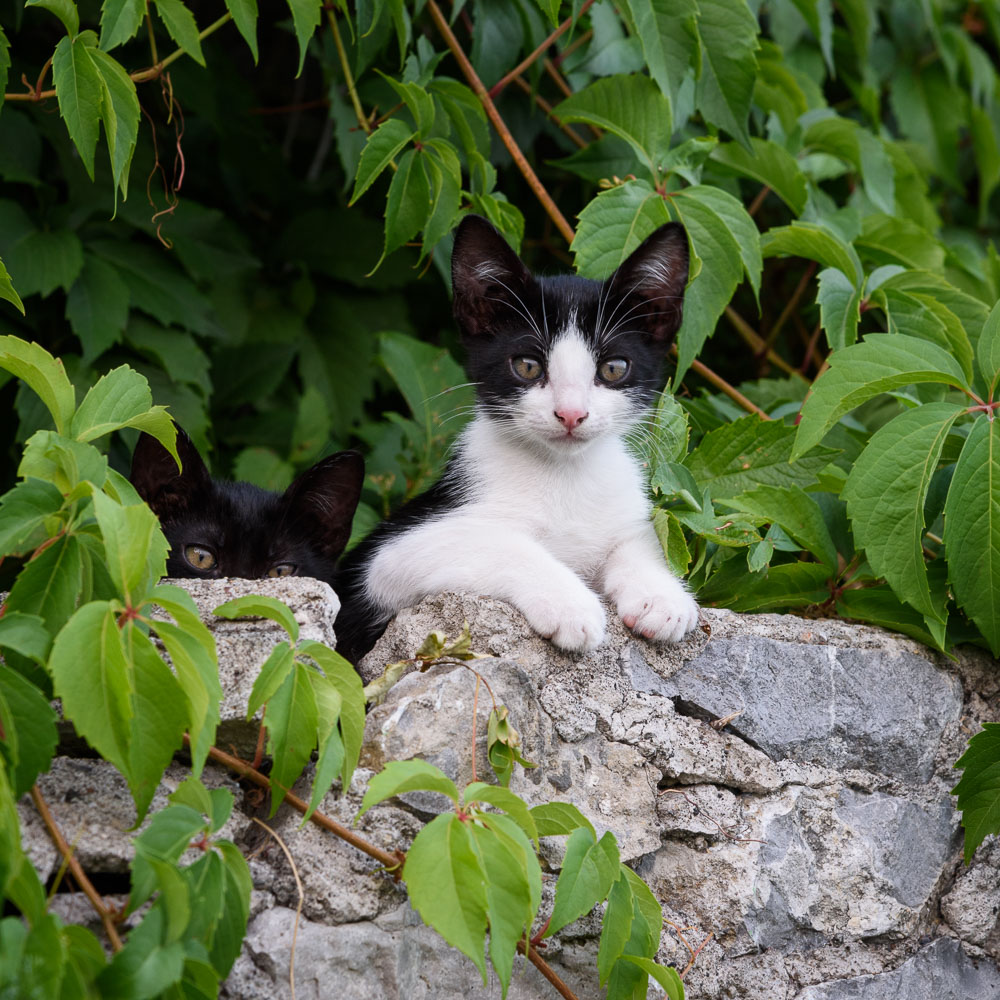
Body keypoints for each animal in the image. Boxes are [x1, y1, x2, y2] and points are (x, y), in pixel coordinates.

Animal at [336, 213, 696, 664]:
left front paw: (661, 596)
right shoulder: (384, 559)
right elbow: (497, 541)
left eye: (614, 368)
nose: (571, 413)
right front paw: (571, 605)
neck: (564, 475)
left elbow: (641, 537)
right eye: (527, 366)